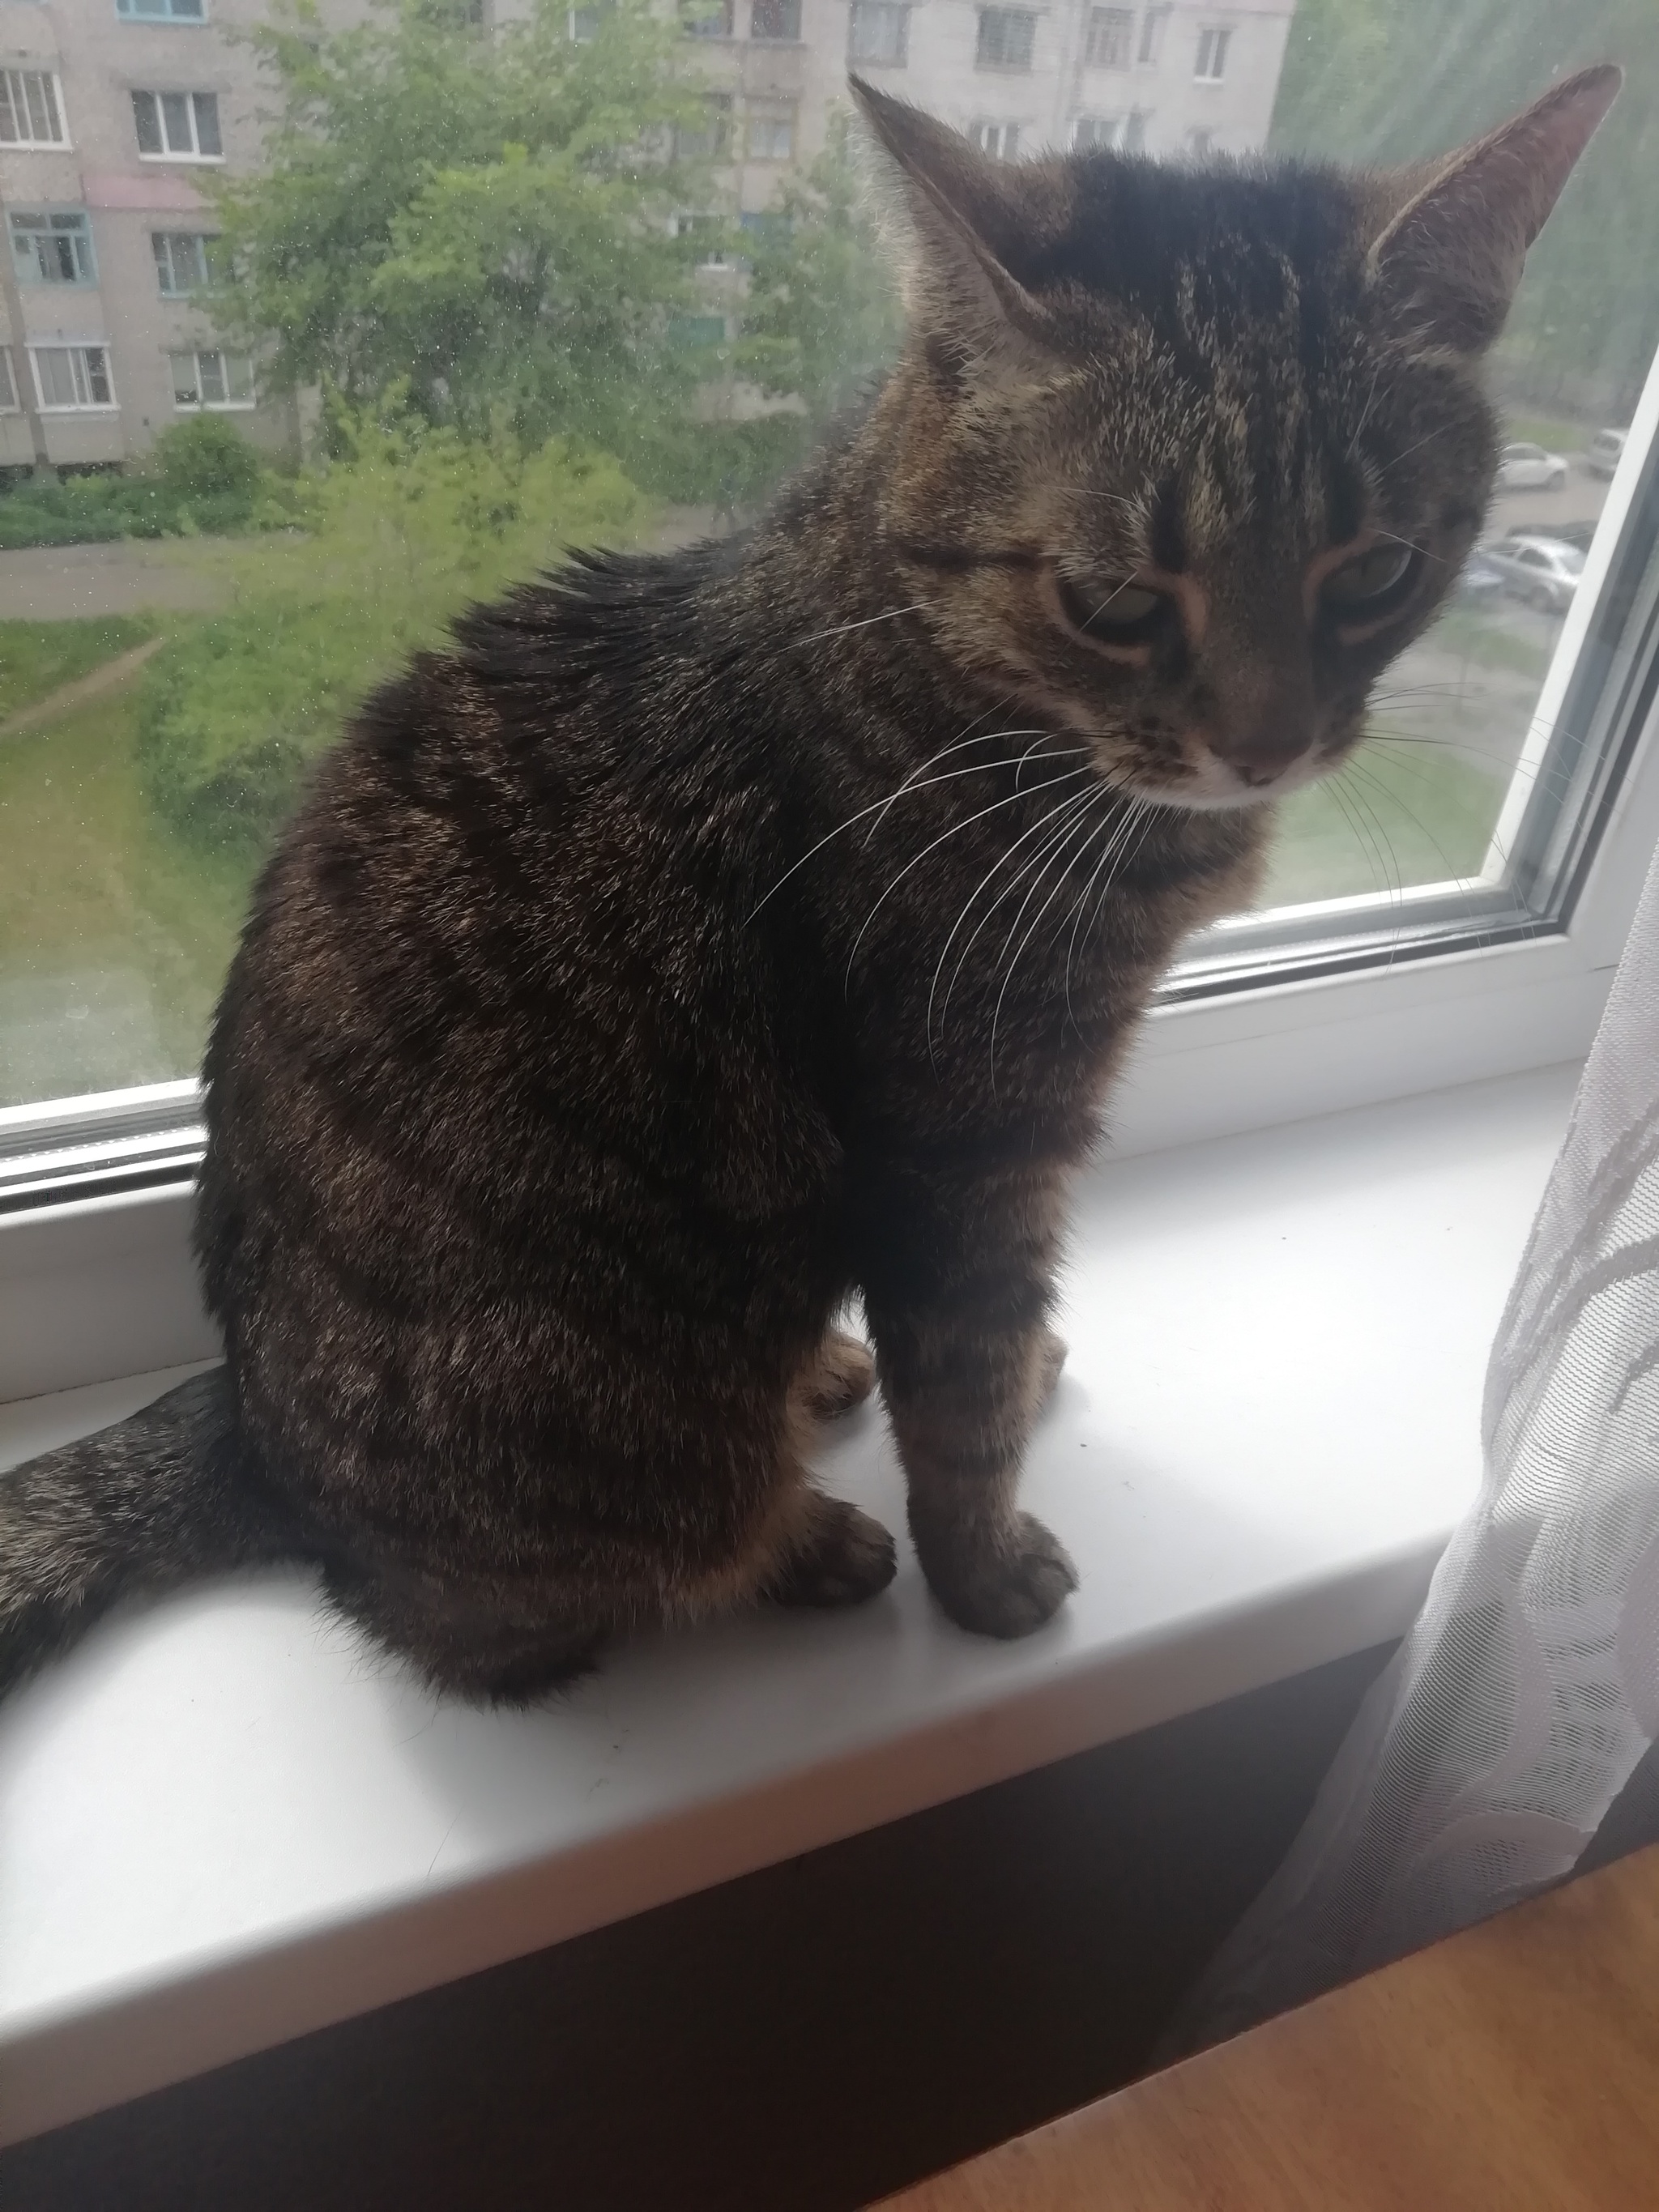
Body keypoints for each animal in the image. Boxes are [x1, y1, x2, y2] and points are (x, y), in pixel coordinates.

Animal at [0, 64, 1618, 1690]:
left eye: (1376, 572)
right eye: (1112, 598)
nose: (1265, 744)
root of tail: (251, 1432)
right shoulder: (966, 1137)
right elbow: (964, 1383)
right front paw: (984, 1572)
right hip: (610, 1435)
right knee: (550, 1603)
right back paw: (806, 1539)